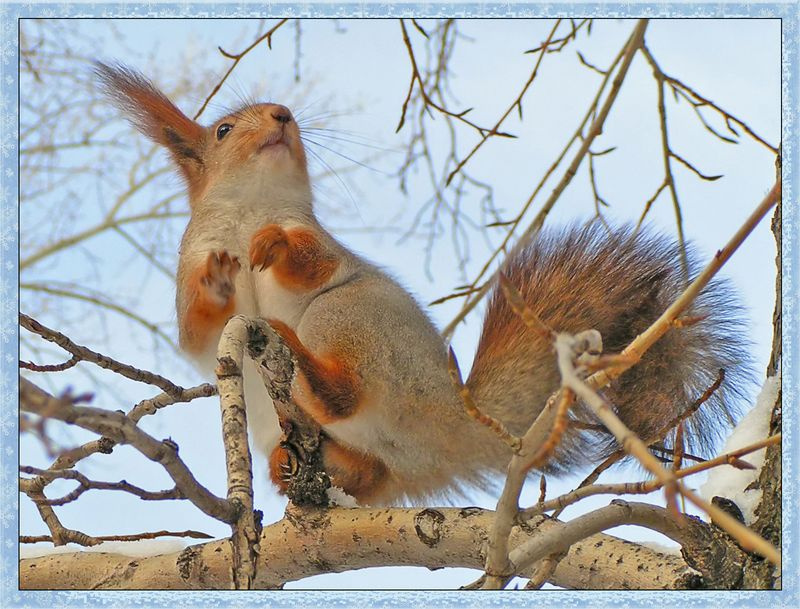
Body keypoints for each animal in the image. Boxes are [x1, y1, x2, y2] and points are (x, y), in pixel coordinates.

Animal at [96, 63, 752, 505]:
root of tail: (448, 416)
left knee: (344, 389)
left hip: (350, 314)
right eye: (224, 129)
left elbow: (312, 261)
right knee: (366, 472)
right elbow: (195, 331)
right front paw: (218, 276)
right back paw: (292, 463)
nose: (283, 115)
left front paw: (272, 246)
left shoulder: (323, 245)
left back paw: (312, 372)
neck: (252, 206)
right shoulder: (190, 267)